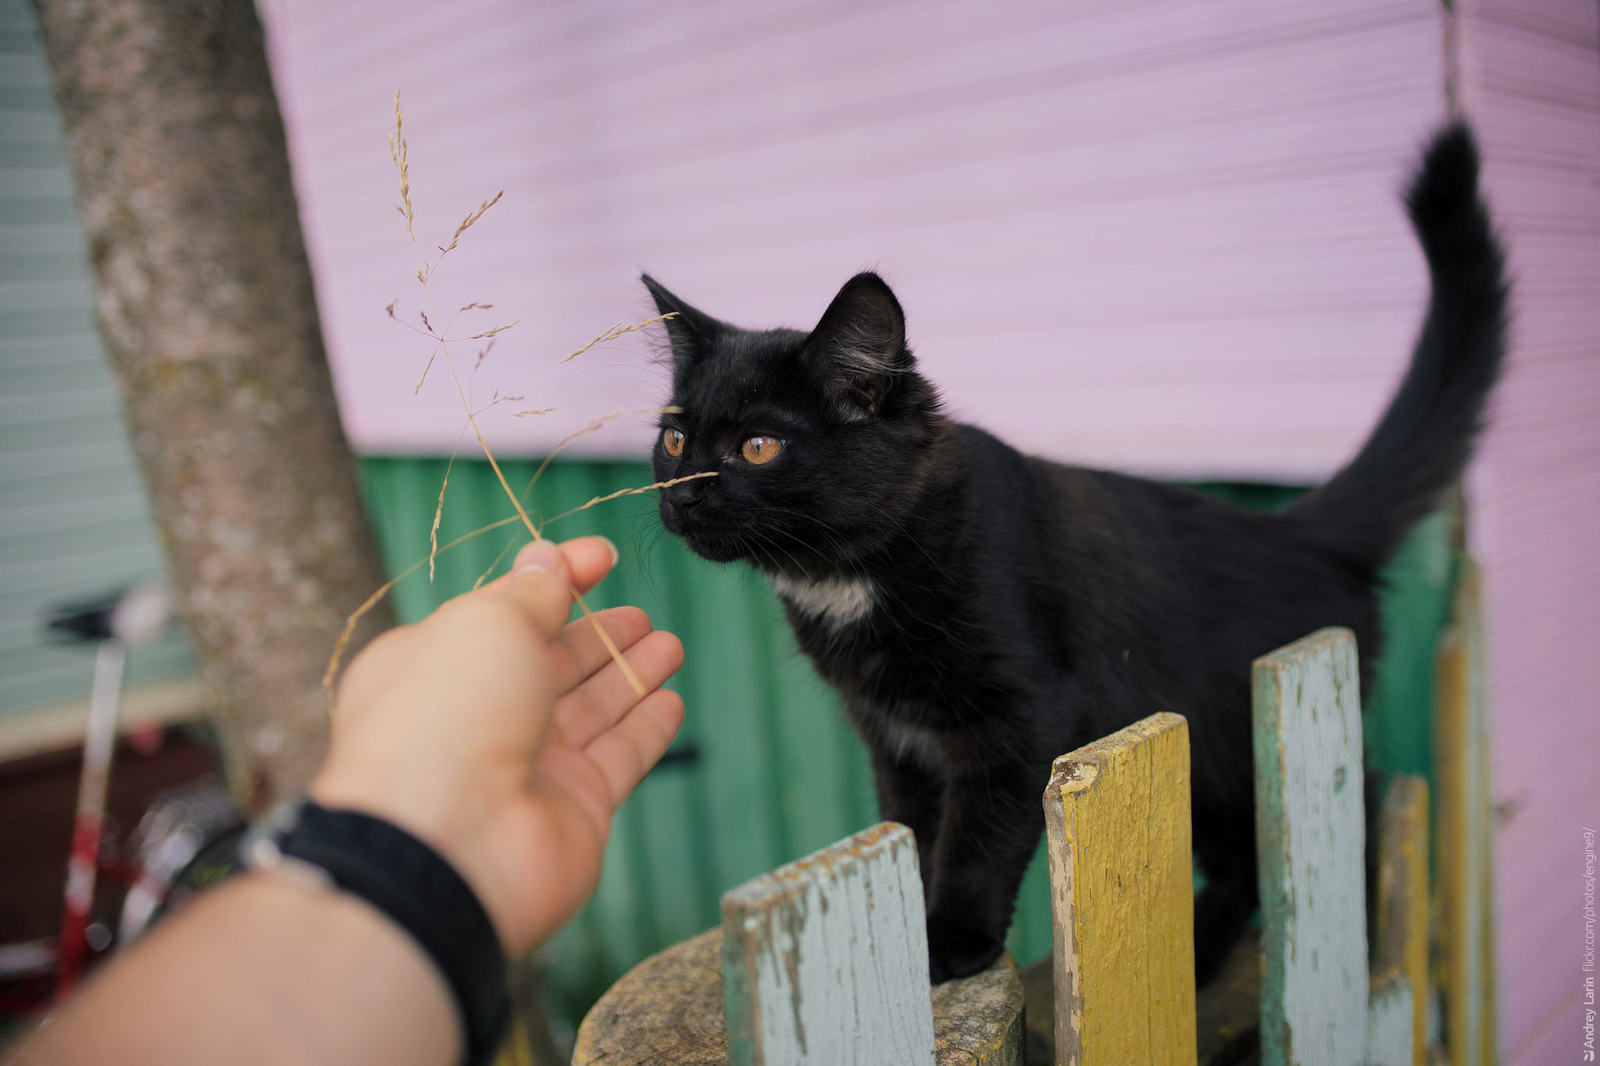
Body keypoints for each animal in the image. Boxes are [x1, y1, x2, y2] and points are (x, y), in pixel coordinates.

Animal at [636, 124, 1497, 979]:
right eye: (674, 439)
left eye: (758, 446)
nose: (680, 496)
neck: (851, 576)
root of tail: (1298, 530)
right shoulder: (894, 739)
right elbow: (911, 829)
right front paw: (904, 929)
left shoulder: (1025, 716)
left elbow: (977, 837)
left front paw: (952, 942)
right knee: (1244, 857)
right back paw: (1203, 944)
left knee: (1353, 805)